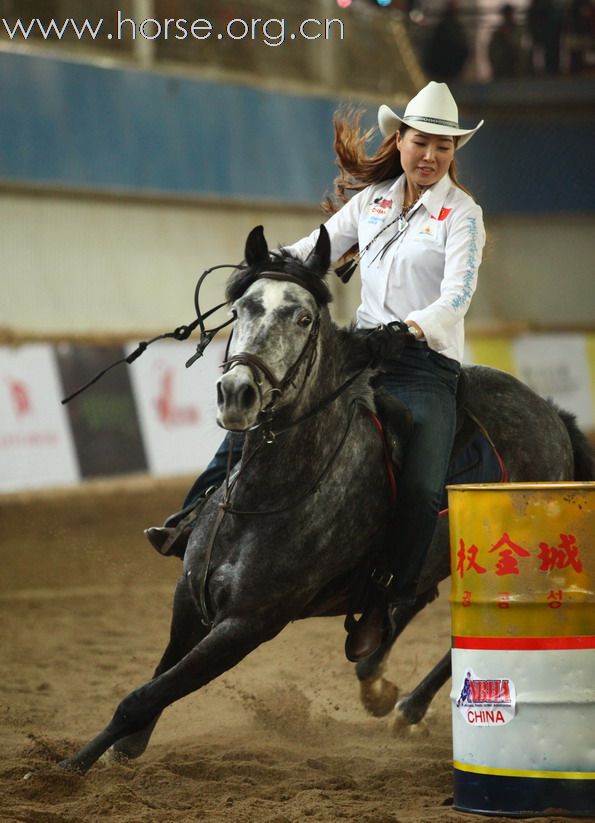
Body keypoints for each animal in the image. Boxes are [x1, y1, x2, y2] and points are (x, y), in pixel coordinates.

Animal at [61, 224, 595, 772]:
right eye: (243, 308)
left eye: (303, 318)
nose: (236, 394)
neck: (270, 495)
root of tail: (553, 415)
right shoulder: (189, 598)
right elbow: (155, 682)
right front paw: (124, 747)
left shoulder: (249, 624)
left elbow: (142, 697)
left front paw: (69, 769)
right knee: (411, 600)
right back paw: (376, 679)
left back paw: (410, 704)